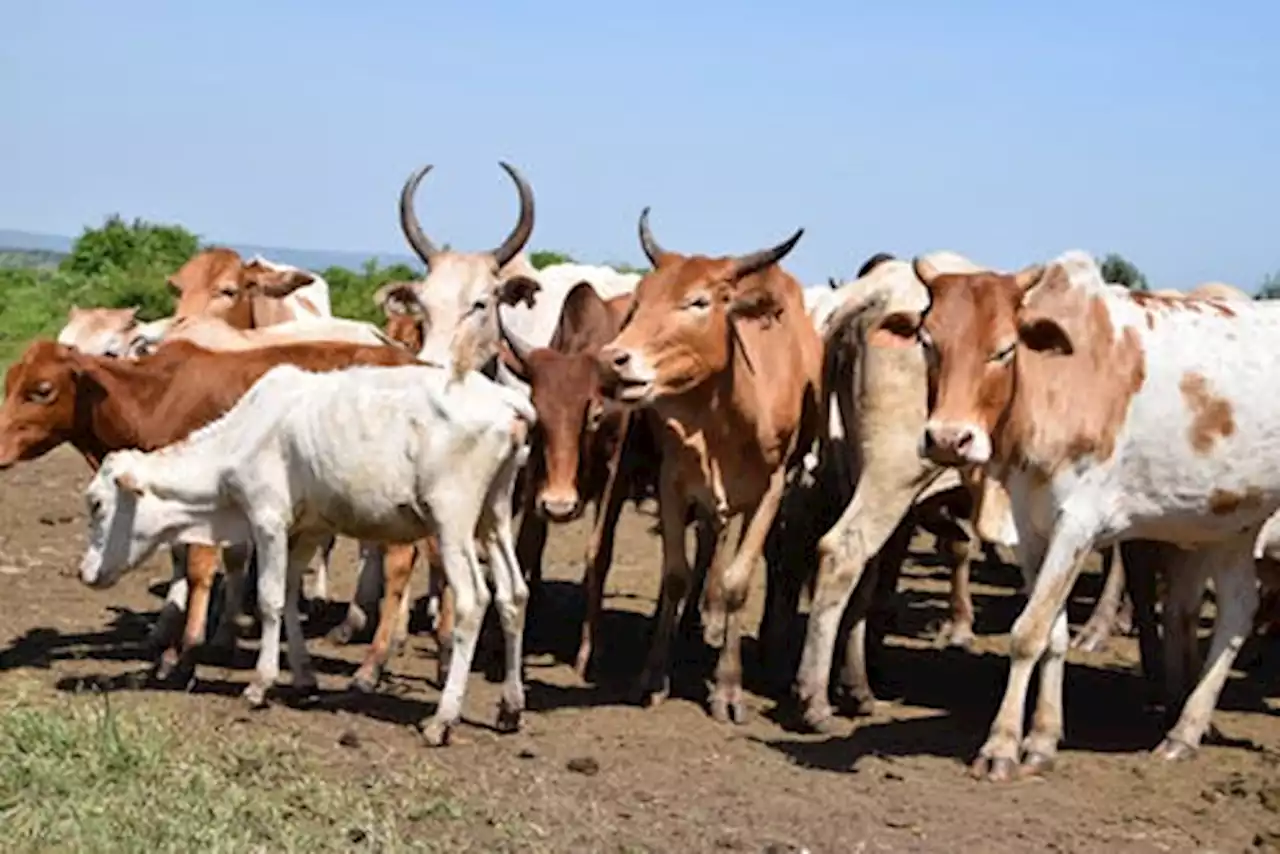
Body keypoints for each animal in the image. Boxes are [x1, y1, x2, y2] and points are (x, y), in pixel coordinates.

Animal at [76, 363, 535, 747]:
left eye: (97, 504)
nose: (84, 572)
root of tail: (506, 401)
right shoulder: (311, 527)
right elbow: (291, 594)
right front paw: (303, 677)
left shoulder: (268, 518)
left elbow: (269, 600)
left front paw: (260, 684)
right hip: (493, 515)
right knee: (513, 594)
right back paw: (511, 706)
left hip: (451, 517)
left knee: (474, 601)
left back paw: (443, 717)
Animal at [496, 284, 660, 676]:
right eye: (536, 411)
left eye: (595, 414)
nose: (560, 506)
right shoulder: (537, 477)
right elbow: (527, 546)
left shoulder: (615, 482)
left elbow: (598, 554)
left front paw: (588, 651)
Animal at [596, 207, 824, 722]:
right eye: (639, 301)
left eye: (698, 301)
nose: (612, 359)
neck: (727, 417)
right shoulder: (674, 481)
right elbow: (676, 574)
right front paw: (654, 674)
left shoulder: (771, 490)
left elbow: (738, 582)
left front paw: (728, 688)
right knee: (705, 547)